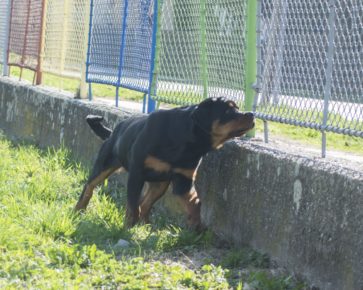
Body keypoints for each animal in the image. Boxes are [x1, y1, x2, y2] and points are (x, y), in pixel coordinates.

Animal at [75, 97, 255, 229]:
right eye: (228, 110)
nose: (252, 114)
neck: (190, 142)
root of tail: (113, 132)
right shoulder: (136, 174)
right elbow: (132, 205)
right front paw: (128, 227)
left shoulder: (183, 179)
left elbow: (195, 202)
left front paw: (195, 225)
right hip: (104, 164)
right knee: (89, 186)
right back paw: (79, 209)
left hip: (160, 184)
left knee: (145, 204)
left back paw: (147, 226)